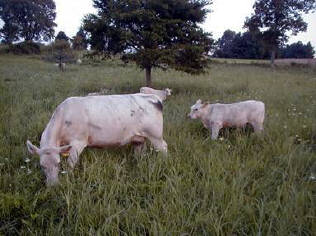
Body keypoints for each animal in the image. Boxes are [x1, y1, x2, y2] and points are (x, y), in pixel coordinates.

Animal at [26, 93, 168, 185]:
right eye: (42, 166)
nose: (53, 185)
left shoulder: (78, 142)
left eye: (58, 163)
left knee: (164, 148)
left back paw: (163, 163)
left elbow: (71, 163)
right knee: (140, 153)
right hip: (139, 138)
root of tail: (154, 97)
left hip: (155, 135)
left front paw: (68, 178)